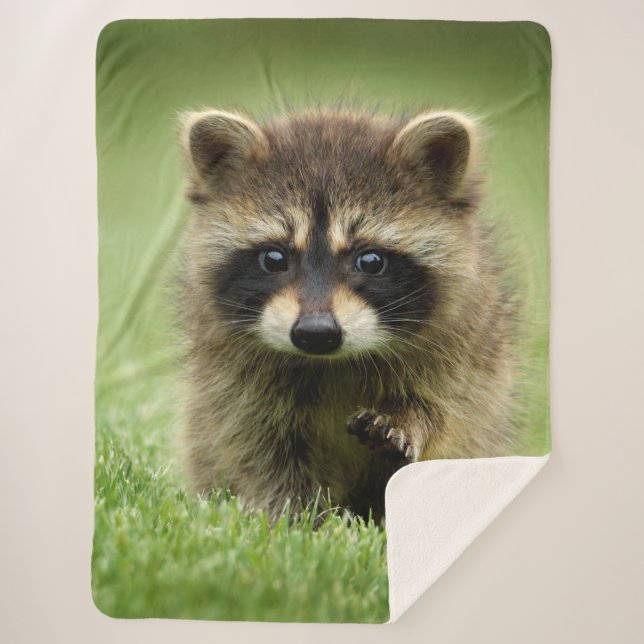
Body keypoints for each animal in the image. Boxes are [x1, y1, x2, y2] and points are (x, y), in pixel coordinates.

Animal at [178, 108, 516, 520]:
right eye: (274, 258)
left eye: (370, 261)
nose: (315, 332)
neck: (334, 362)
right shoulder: (231, 380)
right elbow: (260, 448)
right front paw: (300, 518)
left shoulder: (466, 353)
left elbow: (448, 420)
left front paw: (408, 421)